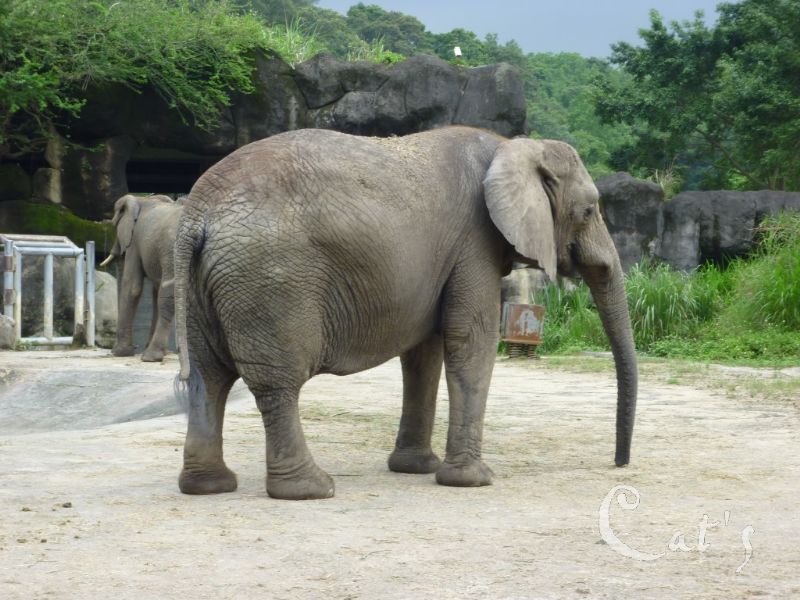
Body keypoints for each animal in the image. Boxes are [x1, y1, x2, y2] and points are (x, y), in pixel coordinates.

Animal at [101, 194, 182, 362]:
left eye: (114, 226)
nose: (111, 350)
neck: (140, 199)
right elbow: (154, 292)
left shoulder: (134, 243)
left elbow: (132, 287)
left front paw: (120, 353)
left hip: (173, 252)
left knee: (168, 295)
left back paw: (150, 356)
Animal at [173, 126, 637, 500]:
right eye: (589, 211)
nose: (619, 464)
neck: (513, 145)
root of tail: (197, 216)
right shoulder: (475, 242)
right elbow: (471, 341)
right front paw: (474, 480)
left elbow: (424, 353)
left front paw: (416, 469)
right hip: (270, 280)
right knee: (277, 383)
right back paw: (311, 489)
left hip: (205, 286)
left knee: (207, 377)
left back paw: (208, 486)